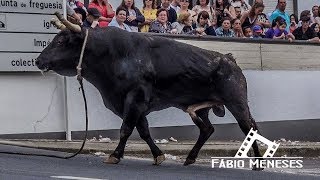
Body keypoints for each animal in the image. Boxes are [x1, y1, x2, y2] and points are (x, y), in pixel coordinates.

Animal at [37, 26, 262, 166]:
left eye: (60, 41)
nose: (39, 60)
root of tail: (229, 59)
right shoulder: (132, 105)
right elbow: (143, 131)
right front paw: (158, 155)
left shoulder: (135, 99)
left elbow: (126, 129)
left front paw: (114, 155)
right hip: (201, 109)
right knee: (207, 129)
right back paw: (190, 158)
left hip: (237, 102)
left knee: (249, 127)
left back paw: (258, 163)